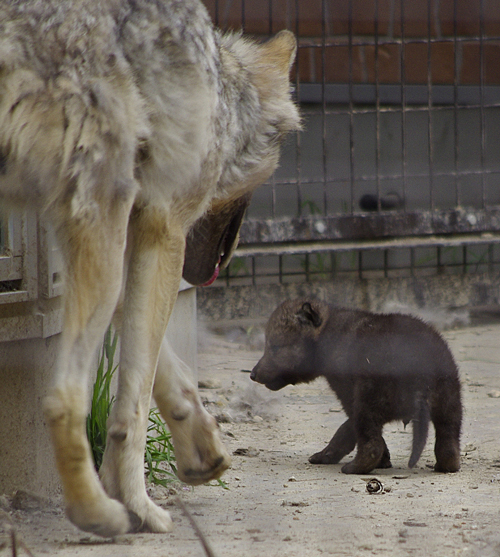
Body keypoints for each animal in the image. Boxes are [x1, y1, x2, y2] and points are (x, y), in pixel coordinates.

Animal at [0, 0, 300, 540]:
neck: (222, 91)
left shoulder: (97, 232)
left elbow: (163, 371)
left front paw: (200, 446)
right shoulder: (162, 228)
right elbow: (134, 399)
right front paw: (136, 504)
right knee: (62, 398)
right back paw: (96, 514)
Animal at [252, 300, 462, 474]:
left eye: (274, 346)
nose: (252, 374)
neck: (327, 335)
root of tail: (420, 369)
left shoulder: (347, 394)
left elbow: (349, 430)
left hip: (369, 400)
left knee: (371, 445)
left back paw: (354, 468)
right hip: (450, 401)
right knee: (448, 440)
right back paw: (445, 466)